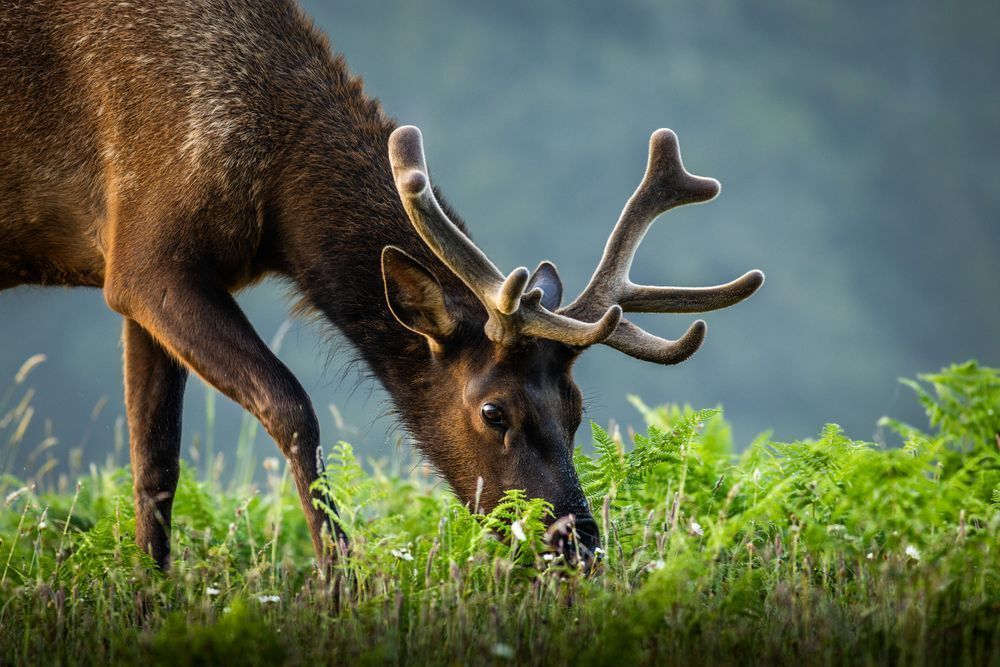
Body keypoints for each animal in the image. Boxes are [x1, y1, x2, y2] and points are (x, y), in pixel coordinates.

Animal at [0, 0, 763, 570]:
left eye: (577, 409)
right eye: (494, 411)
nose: (575, 542)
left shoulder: (134, 274)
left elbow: (153, 466)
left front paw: (153, 600)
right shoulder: (147, 257)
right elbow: (290, 407)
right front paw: (342, 582)